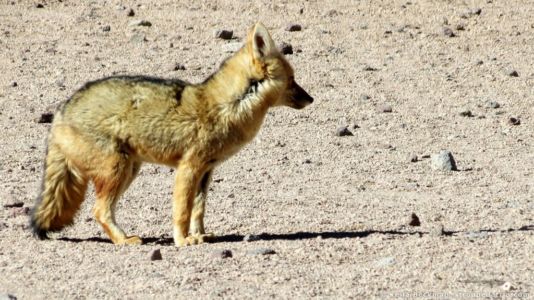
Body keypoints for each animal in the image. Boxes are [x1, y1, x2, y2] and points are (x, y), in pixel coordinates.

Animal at [30, 21, 314, 246]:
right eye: (292, 81)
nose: (311, 99)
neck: (228, 105)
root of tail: (61, 111)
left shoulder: (206, 170)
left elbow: (198, 209)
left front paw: (200, 235)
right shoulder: (188, 167)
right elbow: (183, 210)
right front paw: (182, 240)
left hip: (129, 170)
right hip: (117, 170)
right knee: (99, 210)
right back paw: (124, 240)